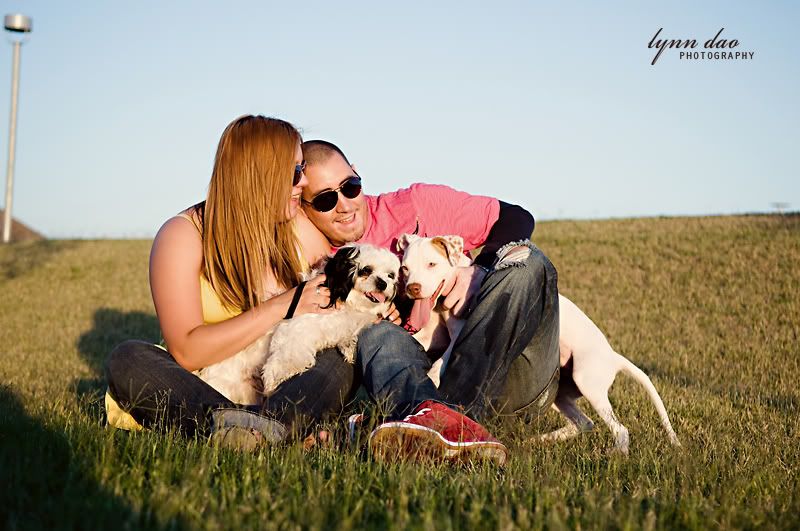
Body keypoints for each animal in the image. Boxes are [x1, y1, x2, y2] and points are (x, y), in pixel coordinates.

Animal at [195, 245, 400, 408]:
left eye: (391, 275)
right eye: (366, 270)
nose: (383, 283)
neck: (345, 303)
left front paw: (348, 346)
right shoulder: (295, 335)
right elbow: (286, 360)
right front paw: (273, 380)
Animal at [396, 233, 680, 454]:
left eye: (432, 264)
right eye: (404, 268)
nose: (413, 289)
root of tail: (612, 356)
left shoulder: (458, 331)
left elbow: (443, 360)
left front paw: (434, 374)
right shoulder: (431, 334)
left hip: (588, 382)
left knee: (620, 428)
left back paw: (616, 453)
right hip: (562, 395)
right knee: (584, 422)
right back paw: (543, 439)